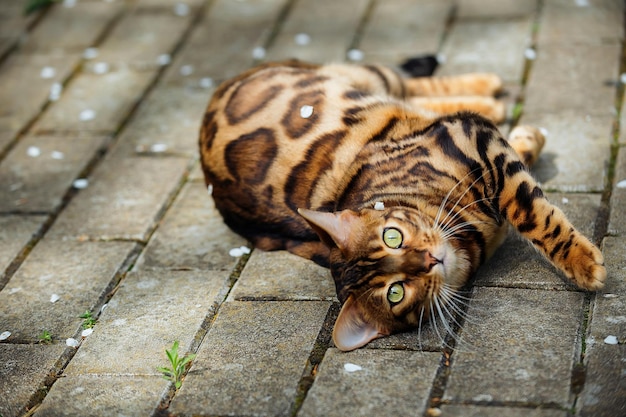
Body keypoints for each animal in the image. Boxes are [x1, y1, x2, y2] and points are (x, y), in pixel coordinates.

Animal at [197, 59, 604, 352]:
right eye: (396, 293)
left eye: (392, 236)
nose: (430, 259)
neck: (473, 238)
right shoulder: (480, 146)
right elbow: (527, 203)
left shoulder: (471, 139)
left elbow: (528, 209)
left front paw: (583, 263)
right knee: (412, 95)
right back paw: (490, 98)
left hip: (366, 77)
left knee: (405, 83)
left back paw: (486, 90)